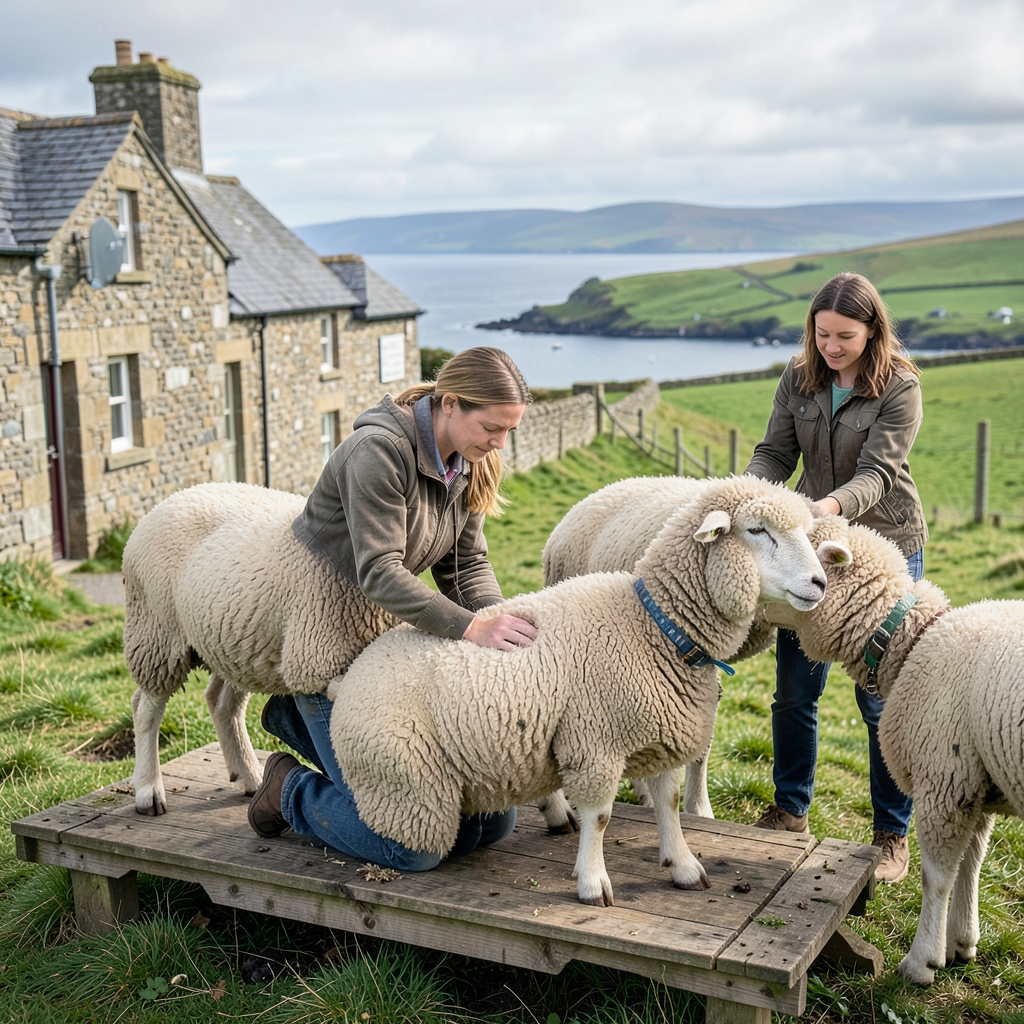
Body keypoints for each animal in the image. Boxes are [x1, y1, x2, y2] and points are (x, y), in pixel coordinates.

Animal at [327, 476, 827, 906]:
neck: (654, 627)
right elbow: (601, 817)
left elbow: (667, 805)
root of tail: (348, 679)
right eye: (757, 530)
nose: (819, 583)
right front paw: (592, 881)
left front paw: (683, 865)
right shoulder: (595, 744)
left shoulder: (659, 735)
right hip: (408, 789)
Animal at [762, 515, 1024, 985]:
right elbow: (972, 864)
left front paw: (922, 962)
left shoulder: (945, 781)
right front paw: (961, 942)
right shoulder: (976, 781)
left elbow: (936, 876)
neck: (910, 639)